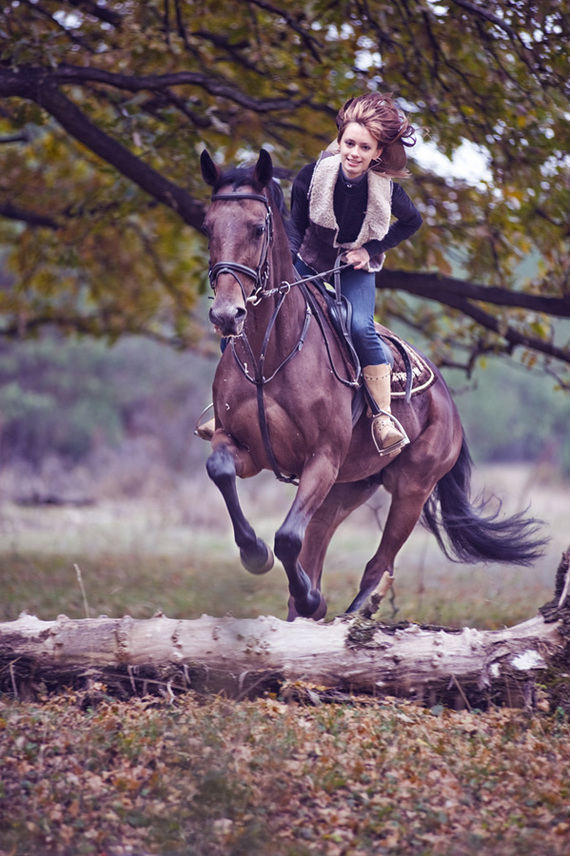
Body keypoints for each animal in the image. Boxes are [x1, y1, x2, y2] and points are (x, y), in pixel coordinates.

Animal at [197, 145, 544, 616]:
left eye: (257, 228)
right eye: (208, 226)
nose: (226, 314)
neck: (271, 353)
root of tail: (447, 402)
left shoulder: (322, 458)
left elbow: (286, 538)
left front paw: (303, 593)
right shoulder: (245, 448)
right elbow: (221, 472)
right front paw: (255, 555)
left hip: (411, 488)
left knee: (379, 563)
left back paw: (355, 606)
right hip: (346, 488)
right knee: (318, 547)